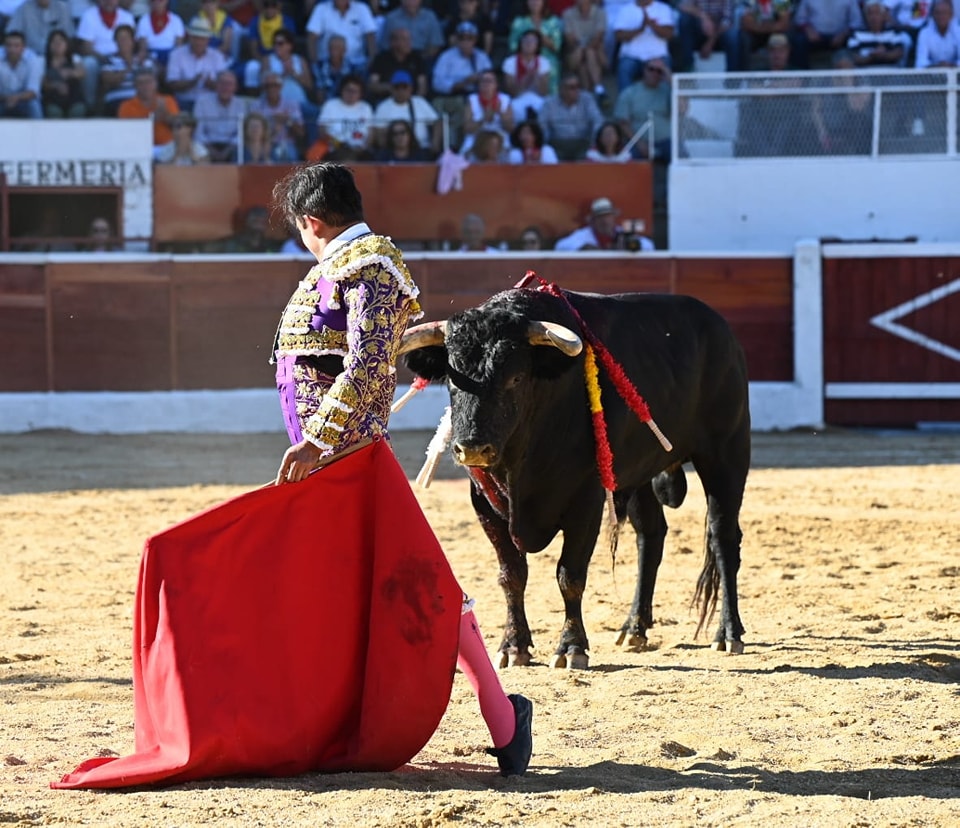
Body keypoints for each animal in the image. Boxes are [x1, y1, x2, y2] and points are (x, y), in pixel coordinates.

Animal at [398, 288, 752, 668]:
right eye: (453, 378)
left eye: (515, 378)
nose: (473, 448)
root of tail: (721, 329)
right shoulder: (485, 504)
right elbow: (512, 575)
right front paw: (513, 646)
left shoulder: (585, 502)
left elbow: (570, 575)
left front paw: (571, 647)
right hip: (639, 473)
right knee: (651, 534)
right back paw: (634, 628)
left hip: (726, 454)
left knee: (723, 537)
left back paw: (728, 633)